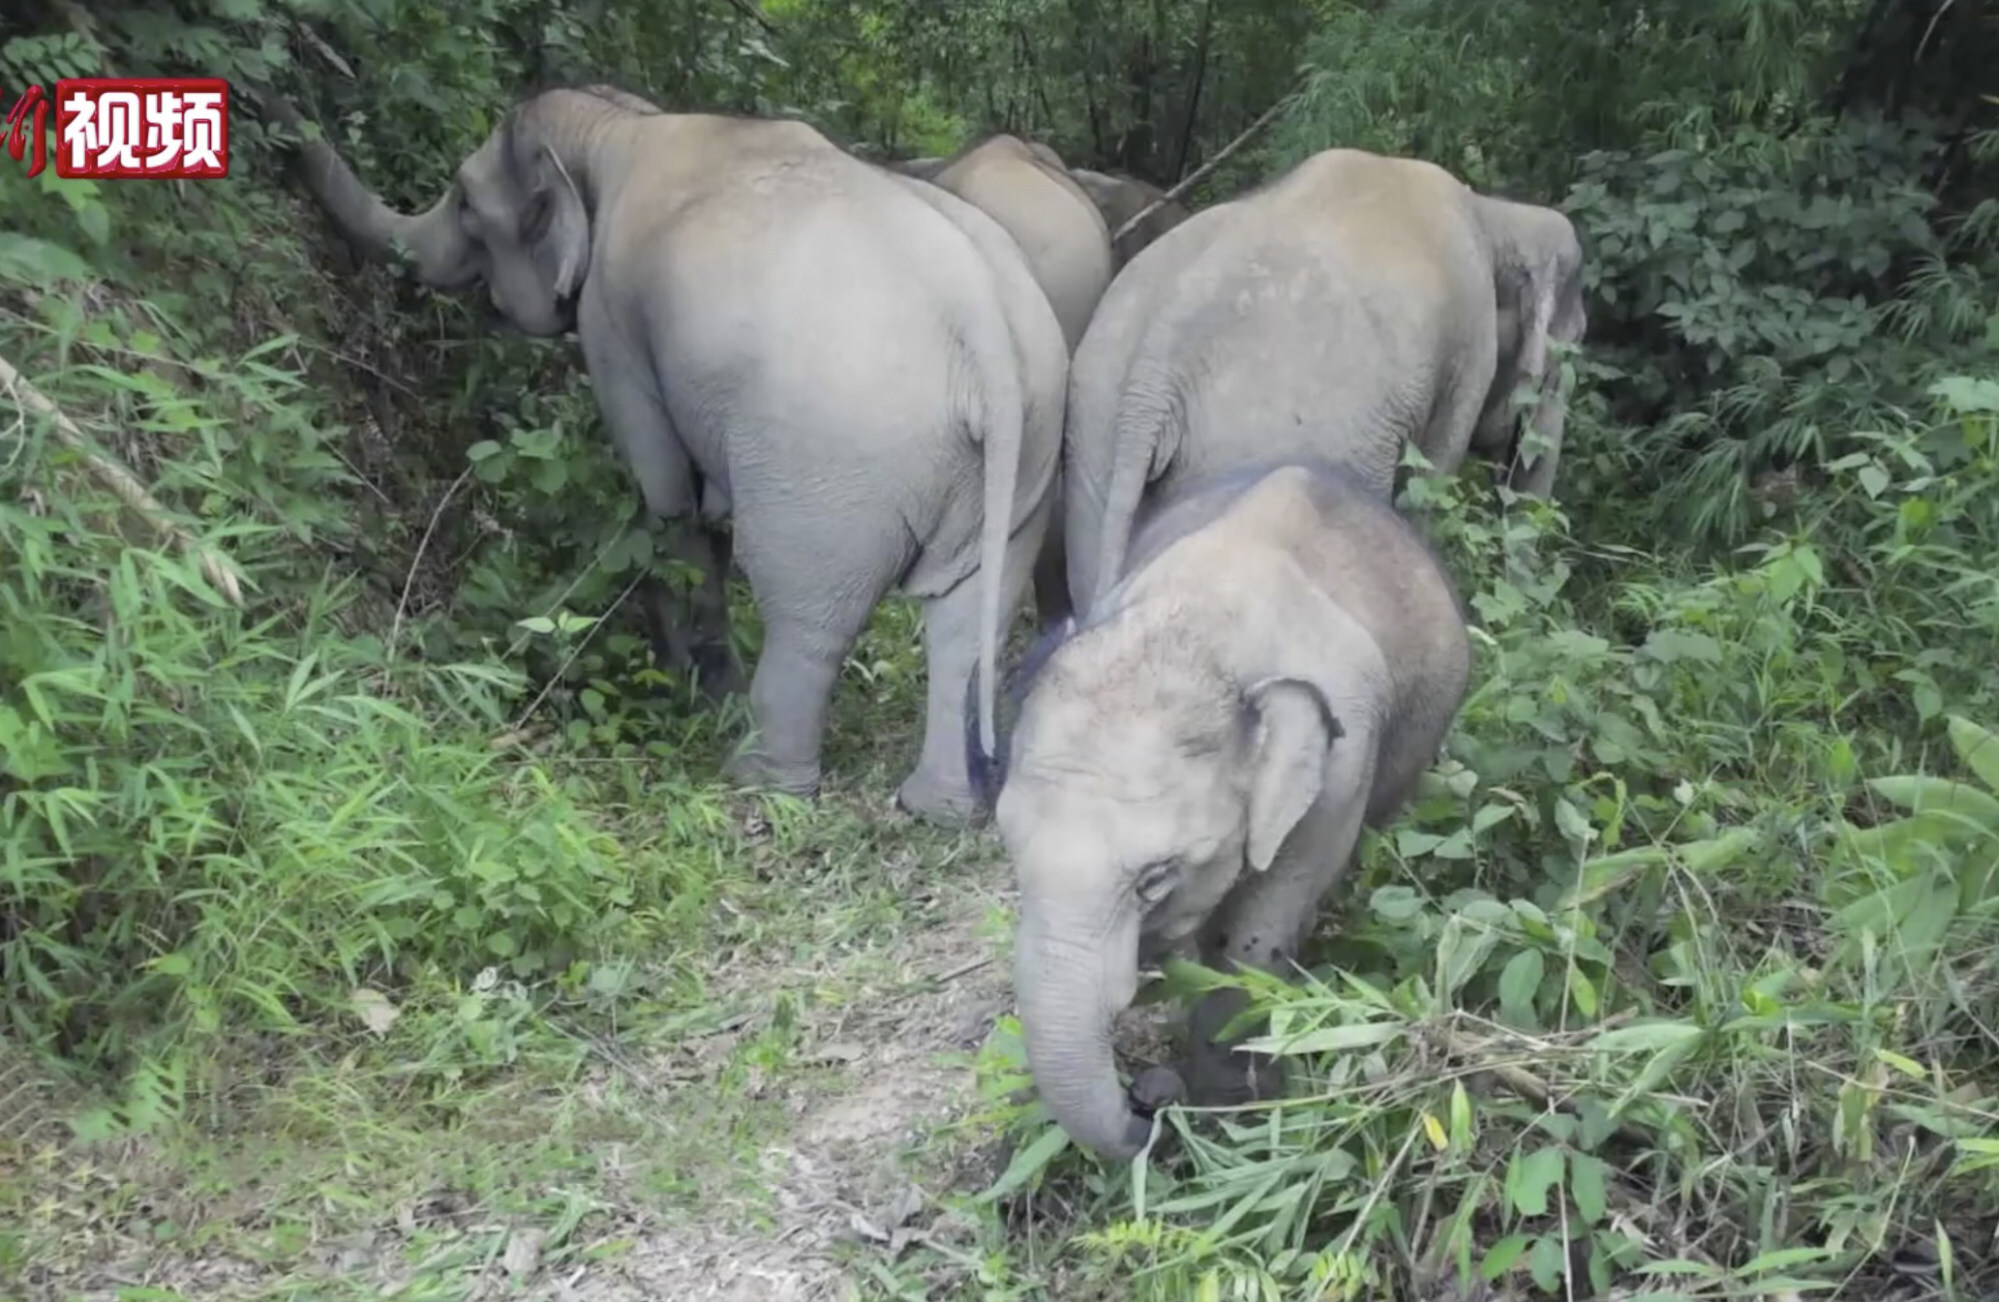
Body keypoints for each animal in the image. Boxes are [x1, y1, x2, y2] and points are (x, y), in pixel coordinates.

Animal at [262, 85, 1070, 824]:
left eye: (464, 203)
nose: (282, 119)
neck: (617, 123)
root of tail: (986, 335)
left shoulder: (612, 320)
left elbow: (668, 499)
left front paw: (693, 687)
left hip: (834, 469)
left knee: (807, 611)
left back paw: (756, 780)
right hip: (1022, 458)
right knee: (965, 619)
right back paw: (938, 809)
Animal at [966, 460, 1473, 1161]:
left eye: (1155, 878)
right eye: (1013, 857)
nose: (1148, 1104)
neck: (1200, 635)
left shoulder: (1341, 770)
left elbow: (1255, 938)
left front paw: (1239, 1110)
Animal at [1062, 147, 1587, 618]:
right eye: (1571, 349)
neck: (1494, 213)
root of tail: (1158, 362)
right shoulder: (1468, 355)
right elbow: (1432, 481)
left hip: (1095, 437)